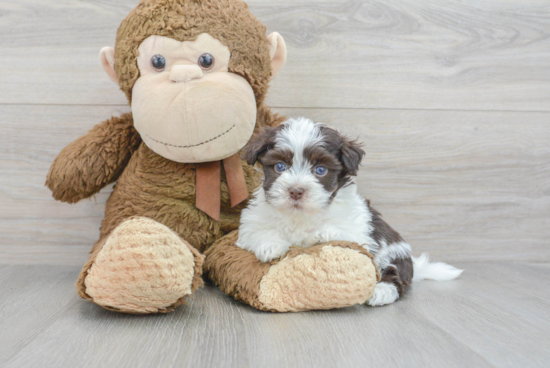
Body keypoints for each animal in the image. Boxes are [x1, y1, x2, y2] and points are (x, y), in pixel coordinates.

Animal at [238, 117, 466, 304]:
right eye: (279, 167)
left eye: (320, 170)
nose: (296, 191)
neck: (301, 215)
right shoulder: (251, 222)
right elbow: (255, 231)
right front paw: (271, 246)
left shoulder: (359, 230)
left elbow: (342, 233)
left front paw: (320, 234)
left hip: (393, 253)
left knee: (395, 277)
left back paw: (381, 292)